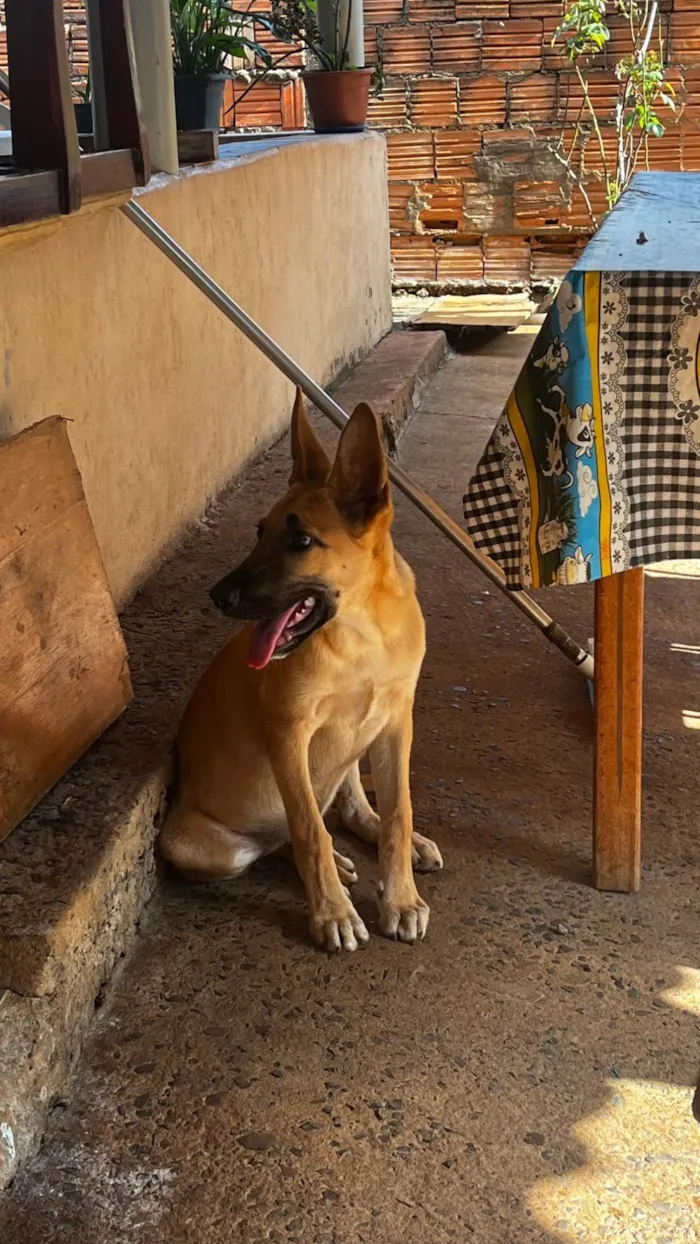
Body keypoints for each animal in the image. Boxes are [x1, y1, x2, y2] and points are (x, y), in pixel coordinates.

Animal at [161, 390, 440, 950]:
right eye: (259, 532)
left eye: (302, 542)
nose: (217, 597)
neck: (361, 633)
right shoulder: (289, 734)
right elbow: (309, 826)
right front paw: (332, 912)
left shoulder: (396, 722)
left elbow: (398, 812)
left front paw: (399, 897)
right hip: (200, 845)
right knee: (285, 835)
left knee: (351, 806)